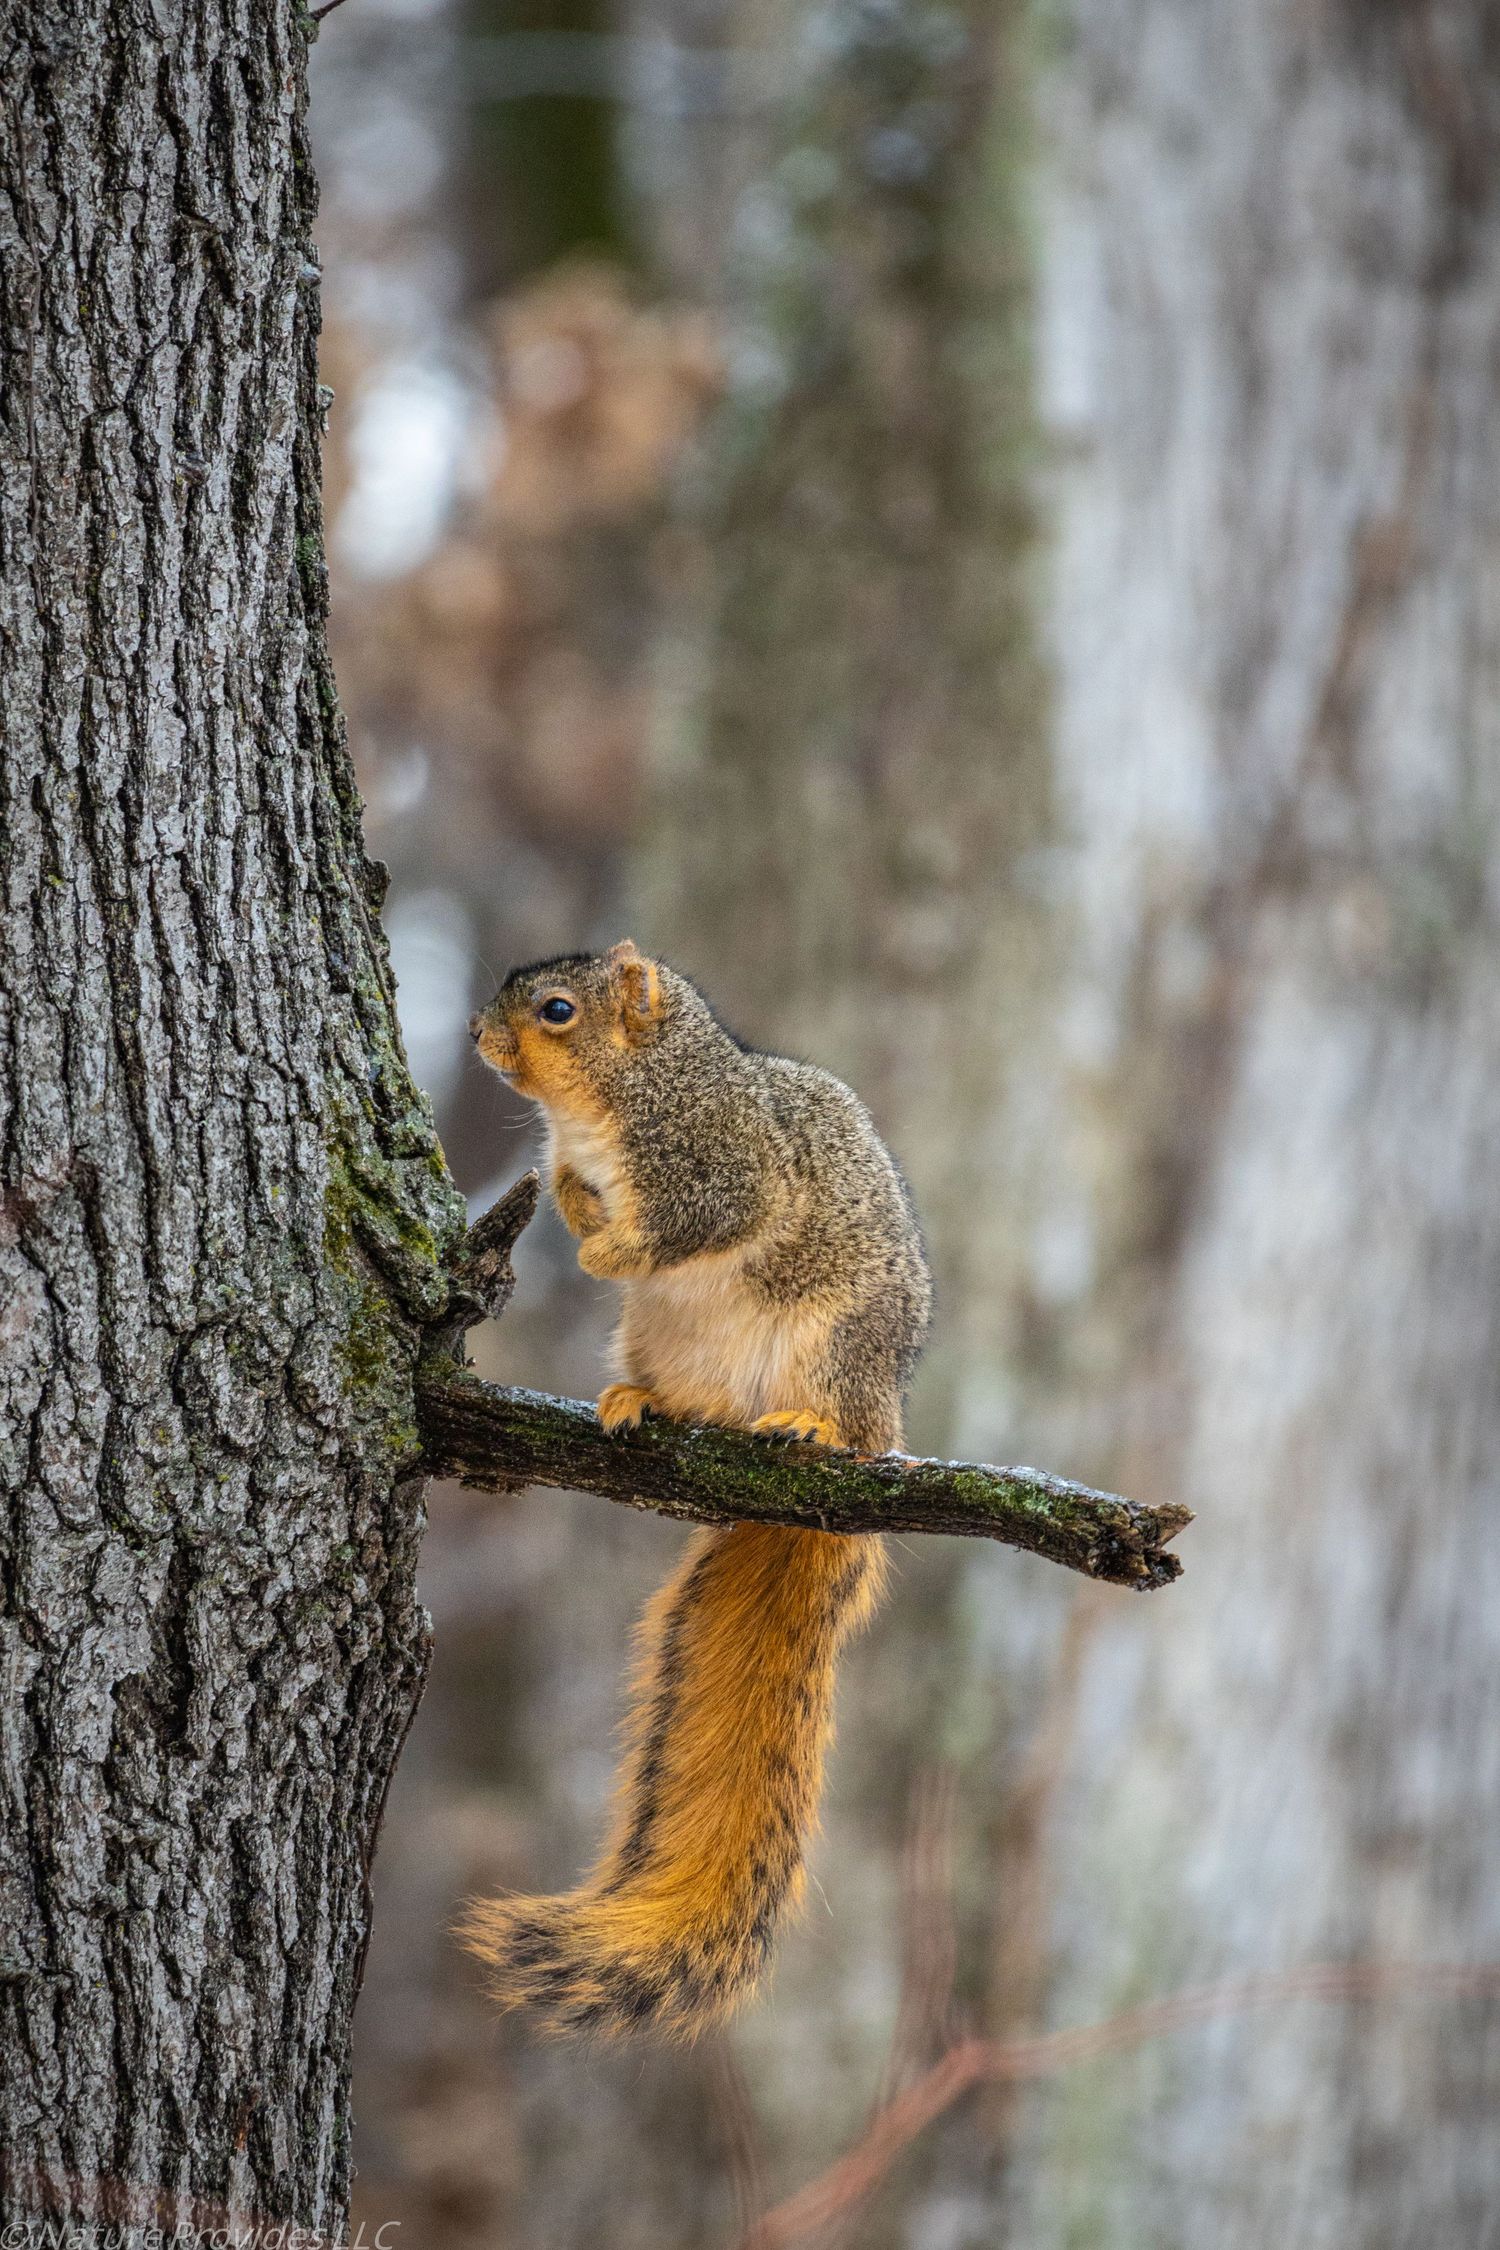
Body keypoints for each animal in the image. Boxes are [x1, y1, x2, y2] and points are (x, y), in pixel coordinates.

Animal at [462, 939, 930, 2040]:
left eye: (557, 1010)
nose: (477, 1036)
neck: (621, 1096)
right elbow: (571, 1185)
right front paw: (575, 1207)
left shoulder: (725, 1166)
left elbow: (699, 1221)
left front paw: (607, 1244)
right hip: (662, 1339)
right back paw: (638, 1401)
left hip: (836, 1347)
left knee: (840, 1418)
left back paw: (811, 1428)